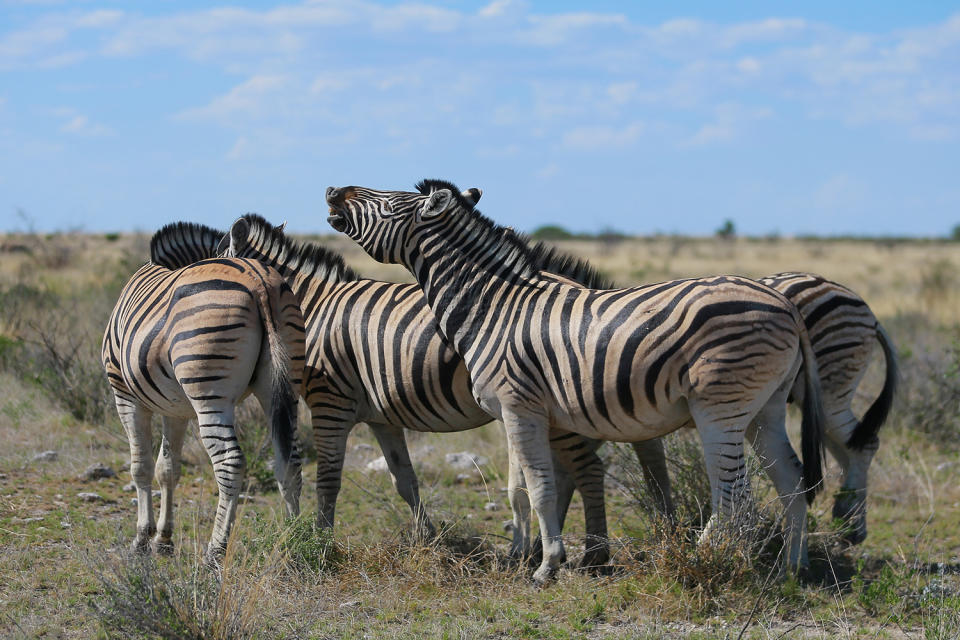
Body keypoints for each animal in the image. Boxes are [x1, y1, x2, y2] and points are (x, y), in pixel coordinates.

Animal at [102, 225, 304, 560]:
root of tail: (258, 281)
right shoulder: (175, 408)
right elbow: (168, 469)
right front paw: (163, 540)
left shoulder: (125, 395)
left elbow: (141, 467)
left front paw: (142, 539)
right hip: (283, 385)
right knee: (290, 461)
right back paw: (296, 543)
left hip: (209, 391)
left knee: (230, 463)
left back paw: (215, 552)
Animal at [150, 211, 616, 564]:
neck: (313, 307)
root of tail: (580, 289)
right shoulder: (382, 417)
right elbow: (404, 480)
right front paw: (428, 538)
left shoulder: (330, 403)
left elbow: (328, 479)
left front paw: (320, 541)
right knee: (567, 472)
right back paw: (539, 550)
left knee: (587, 470)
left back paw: (592, 557)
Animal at [326, 178, 828, 584]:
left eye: (388, 201)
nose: (332, 190)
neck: (492, 307)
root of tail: (783, 302)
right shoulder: (535, 414)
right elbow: (534, 488)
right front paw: (537, 555)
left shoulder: (518, 407)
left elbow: (540, 487)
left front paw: (547, 566)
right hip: (765, 407)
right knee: (792, 480)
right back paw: (790, 569)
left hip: (719, 406)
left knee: (734, 496)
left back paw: (704, 561)